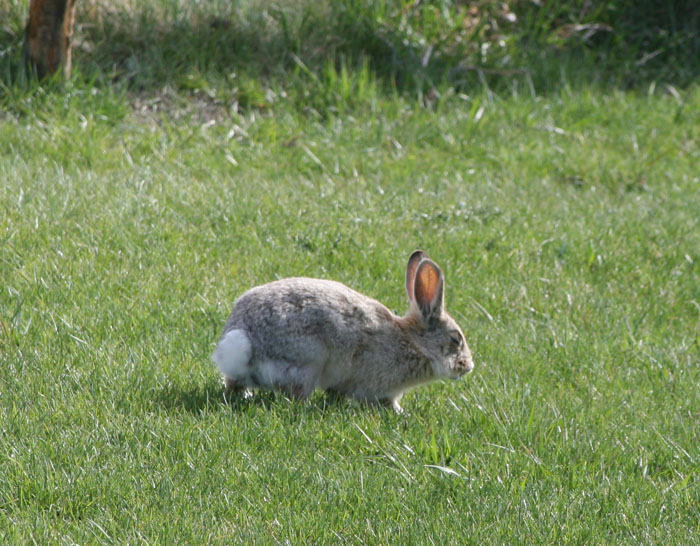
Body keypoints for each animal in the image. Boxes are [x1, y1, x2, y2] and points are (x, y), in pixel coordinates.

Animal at [212, 250, 474, 412]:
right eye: (455, 339)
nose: (469, 366)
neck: (414, 343)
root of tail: (243, 342)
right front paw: (400, 412)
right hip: (307, 361)